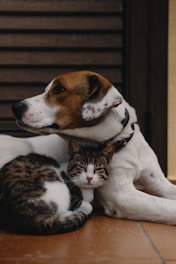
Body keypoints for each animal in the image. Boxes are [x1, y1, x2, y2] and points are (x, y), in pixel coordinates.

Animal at [1, 70, 176, 225]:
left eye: (59, 89)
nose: (15, 107)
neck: (122, 141)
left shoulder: (158, 180)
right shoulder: (121, 194)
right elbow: (166, 206)